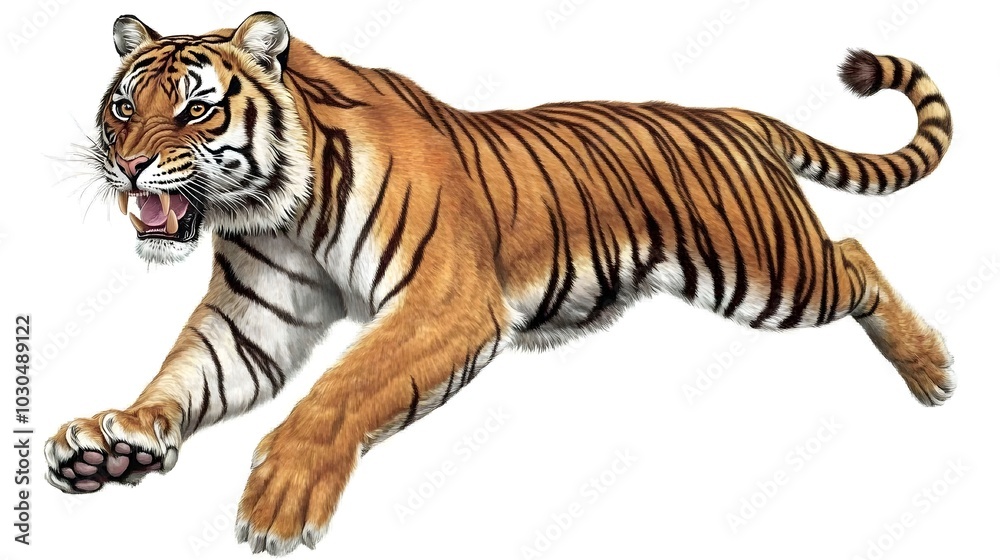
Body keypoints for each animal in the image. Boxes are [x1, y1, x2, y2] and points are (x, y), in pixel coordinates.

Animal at [44, 11, 954, 555]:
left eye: (195, 110)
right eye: (123, 108)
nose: (129, 167)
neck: (280, 209)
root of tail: (734, 116)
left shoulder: (446, 302)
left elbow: (343, 388)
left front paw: (281, 498)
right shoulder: (255, 319)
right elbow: (185, 374)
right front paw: (115, 440)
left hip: (769, 272)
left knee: (856, 256)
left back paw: (932, 371)